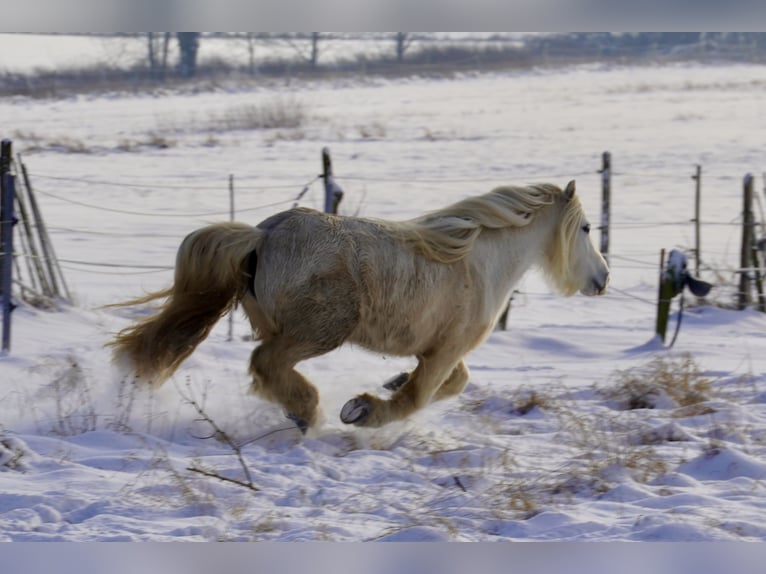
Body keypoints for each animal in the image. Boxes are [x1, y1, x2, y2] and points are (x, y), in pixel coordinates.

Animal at [108, 180, 609, 432]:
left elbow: (453, 383)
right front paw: (363, 411)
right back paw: (309, 411)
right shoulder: (446, 350)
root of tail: (263, 235)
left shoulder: (440, 350)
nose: (603, 279)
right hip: (320, 331)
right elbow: (419, 396)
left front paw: (391, 380)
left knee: (261, 368)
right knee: (267, 362)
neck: (479, 261)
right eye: (586, 228)